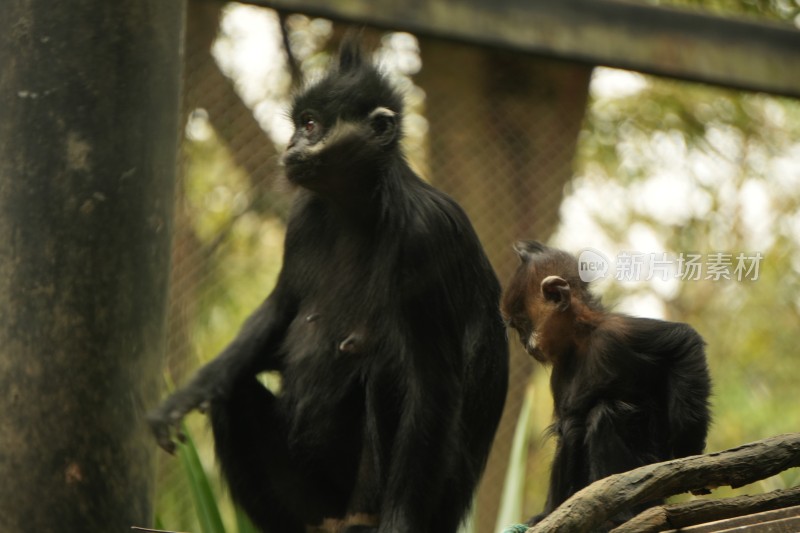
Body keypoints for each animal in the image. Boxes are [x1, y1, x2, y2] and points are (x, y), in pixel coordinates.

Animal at [148, 38, 510, 532]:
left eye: (311, 125)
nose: (291, 144)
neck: (357, 210)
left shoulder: (425, 238)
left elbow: (430, 385)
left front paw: (398, 524)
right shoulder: (303, 217)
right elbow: (281, 311)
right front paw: (191, 391)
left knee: (385, 369)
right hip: (311, 500)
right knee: (233, 394)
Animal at [504, 241, 708, 524]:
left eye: (523, 325)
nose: (525, 343)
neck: (581, 342)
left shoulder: (615, 332)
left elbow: (684, 341)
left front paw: (688, 448)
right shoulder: (559, 373)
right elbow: (566, 425)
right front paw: (546, 514)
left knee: (605, 413)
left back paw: (620, 513)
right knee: (573, 428)